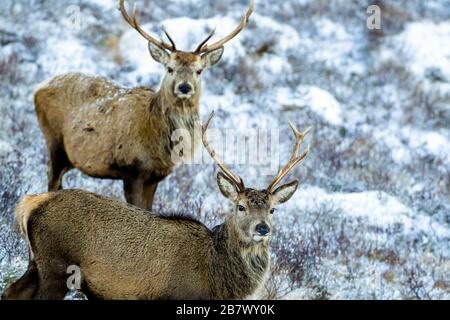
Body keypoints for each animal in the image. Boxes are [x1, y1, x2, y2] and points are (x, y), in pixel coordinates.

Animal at [1, 115, 312, 300]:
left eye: (272, 209)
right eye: (240, 207)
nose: (262, 228)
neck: (218, 281)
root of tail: (30, 203)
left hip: (36, 262)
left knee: (11, 290)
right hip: (57, 265)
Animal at [33, 0, 253, 210]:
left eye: (199, 71)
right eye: (170, 68)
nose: (184, 87)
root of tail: (38, 89)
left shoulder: (155, 176)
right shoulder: (132, 170)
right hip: (54, 141)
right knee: (51, 179)